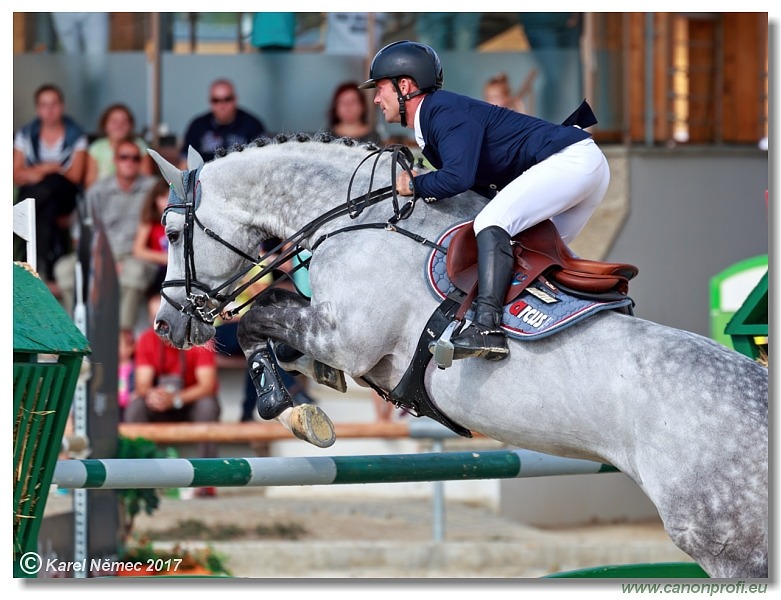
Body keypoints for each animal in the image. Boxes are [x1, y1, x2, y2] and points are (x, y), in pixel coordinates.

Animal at [148, 132, 768, 576]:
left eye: (173, 234)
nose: (164, 324)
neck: (360, 223)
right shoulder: (338, 338)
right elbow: (274, 328)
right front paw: (303, 396)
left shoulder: (348, 335)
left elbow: (255, 320)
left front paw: (289, 408)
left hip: (728, 546)